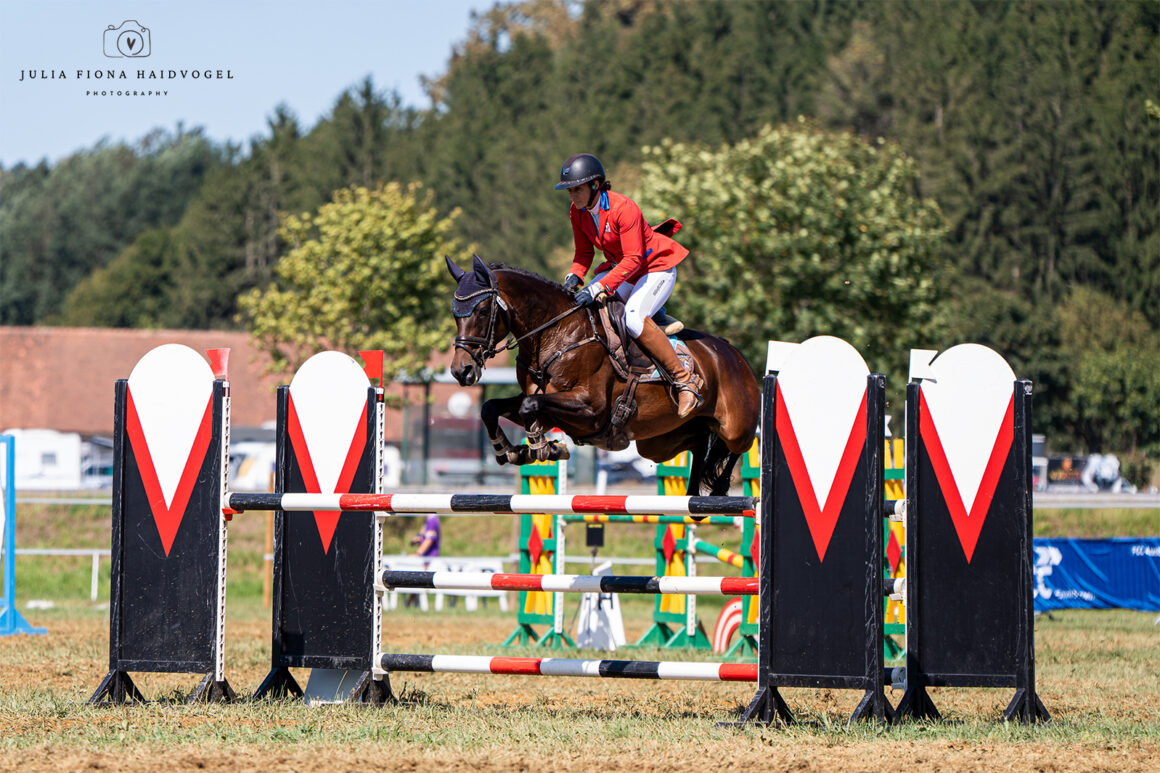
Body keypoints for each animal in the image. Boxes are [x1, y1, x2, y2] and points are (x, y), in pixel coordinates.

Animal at [443, 254, 760, 494]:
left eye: (482, 311)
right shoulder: (550, 404)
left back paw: (718, 488)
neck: (557, 333)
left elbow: (529, 406)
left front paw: (543, 448)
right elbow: (492, 407)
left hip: (734, 426)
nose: (461, 371)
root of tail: (733, 353)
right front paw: (511, 451)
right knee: (699, 444)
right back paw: (694, 495)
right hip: (659, 442)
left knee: (737, 446)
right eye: (455, 314)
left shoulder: (590, 409)